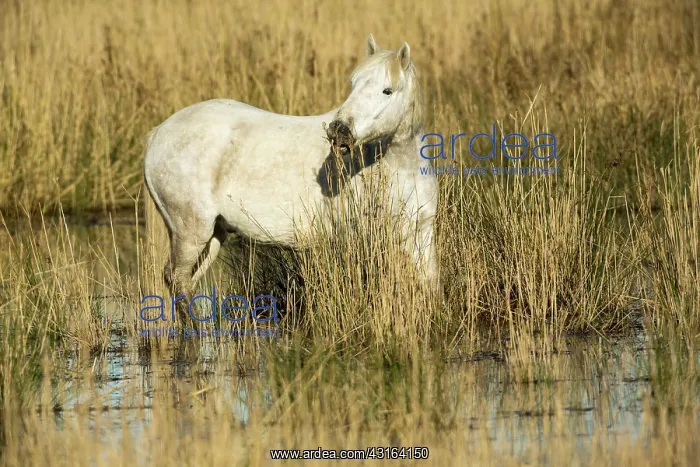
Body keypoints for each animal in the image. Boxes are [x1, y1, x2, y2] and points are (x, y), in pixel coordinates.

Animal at [143, 34, 439, 321]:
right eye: (353, 85)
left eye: (387, 90)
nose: (339, 131)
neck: (399, 167)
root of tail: (159, 132)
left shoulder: (421, 236)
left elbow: (429, 285)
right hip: (191, 232)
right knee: (178, 280)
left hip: (213, 235)